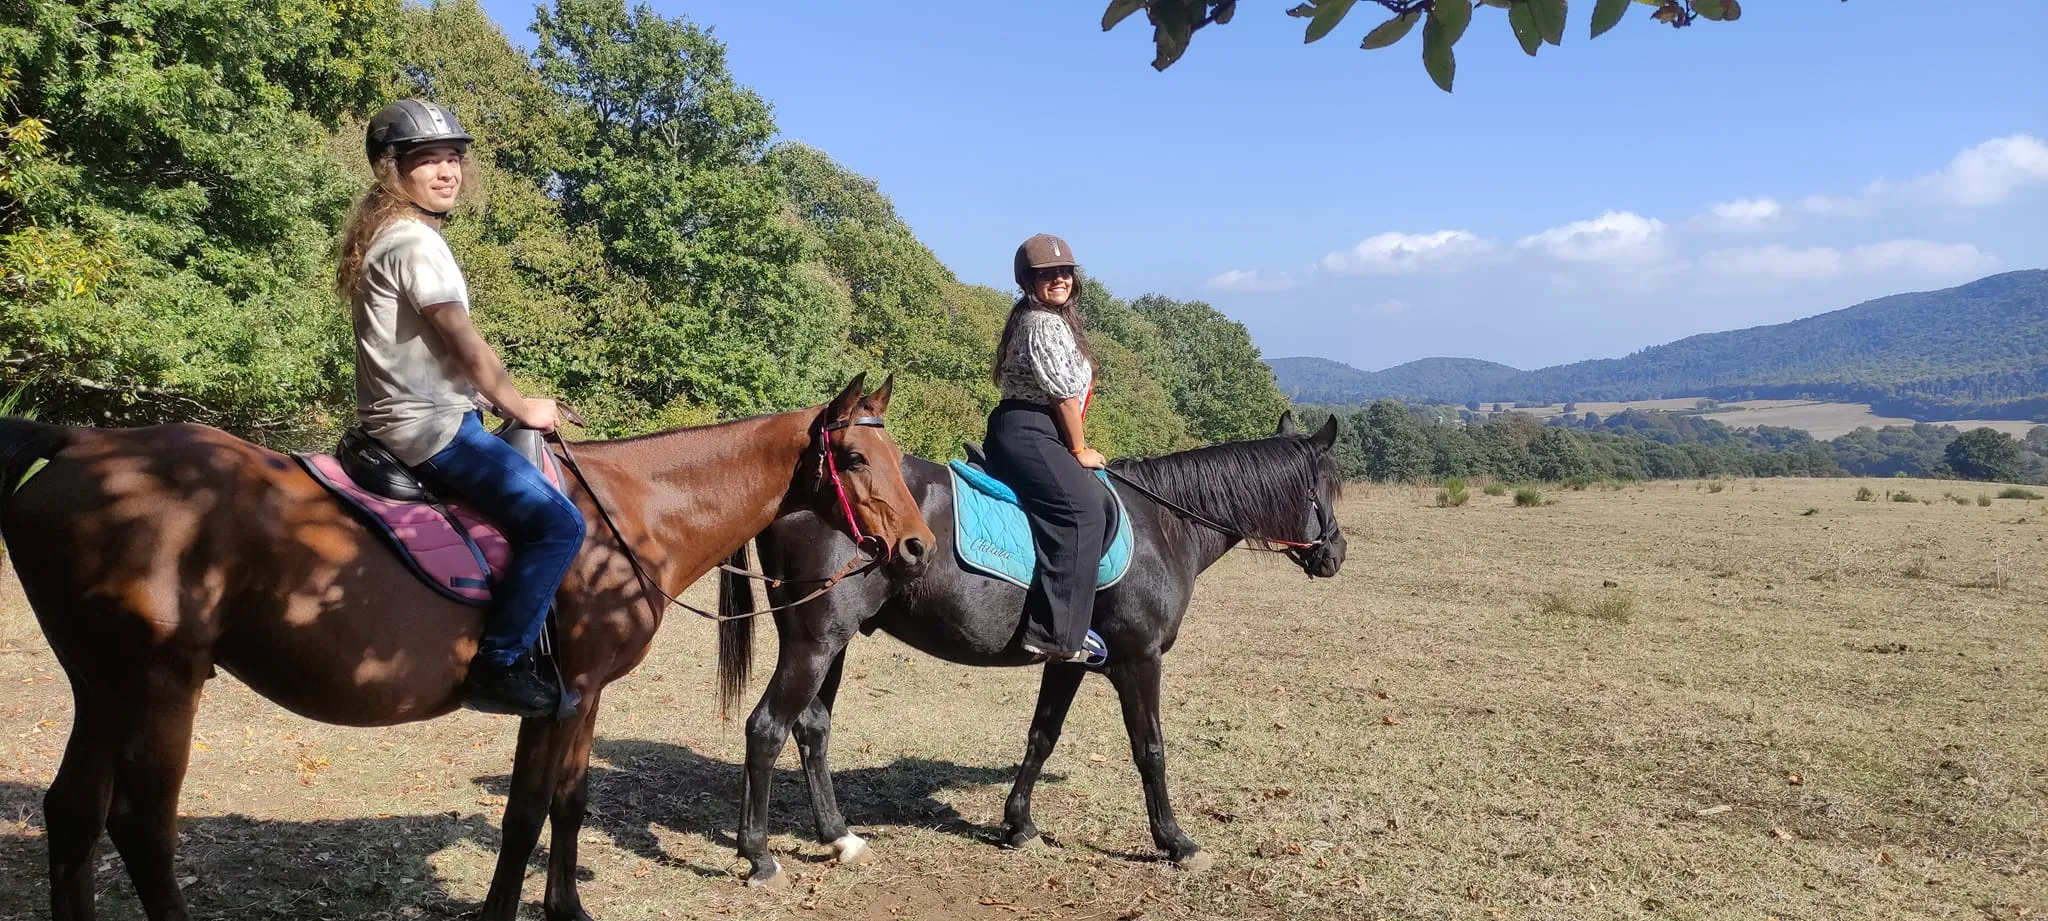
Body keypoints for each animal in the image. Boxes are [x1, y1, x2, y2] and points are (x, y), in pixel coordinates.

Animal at [0, 373, 937, 921]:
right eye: (856, 457)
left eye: (895, 454)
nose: (920, 548)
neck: (628, 515)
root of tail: (78, 443)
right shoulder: (568, 693)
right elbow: (526, 814)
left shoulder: (577, 695)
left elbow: (564, 803)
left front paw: (564, 909)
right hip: (161, 684)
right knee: (140, 826)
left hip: (104, 684)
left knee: (73, 815)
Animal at [714, 410, 1347, 885]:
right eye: (1326, 488)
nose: (1335, 554)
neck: (1163, 526)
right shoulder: (1139, 660)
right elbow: (1151, 750)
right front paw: (1176, 841)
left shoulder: (1070, 662)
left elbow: (1042, 737)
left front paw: (1018, 825)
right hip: (815, 641)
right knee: (767, 727)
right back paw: (758, 855)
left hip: (835, 642)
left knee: (811, 728)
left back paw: (838, 837)